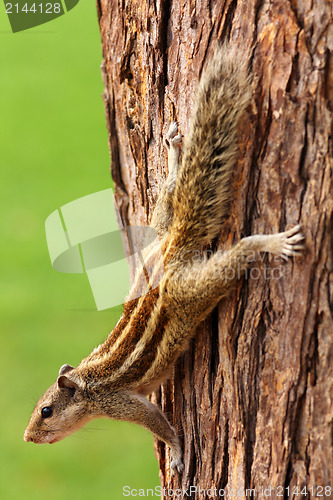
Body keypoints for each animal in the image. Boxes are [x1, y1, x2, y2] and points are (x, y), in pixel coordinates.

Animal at [22, 46, 304, 472]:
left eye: (46, 411)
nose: (26, 437)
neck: (88, 383)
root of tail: (171, 247)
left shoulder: (120, 402)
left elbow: (158, 423)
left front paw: (177, 453)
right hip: (161, 224)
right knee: (170, 195)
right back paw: (174, 154)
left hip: (192, 291)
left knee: (235, 256)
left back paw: (270, 243)